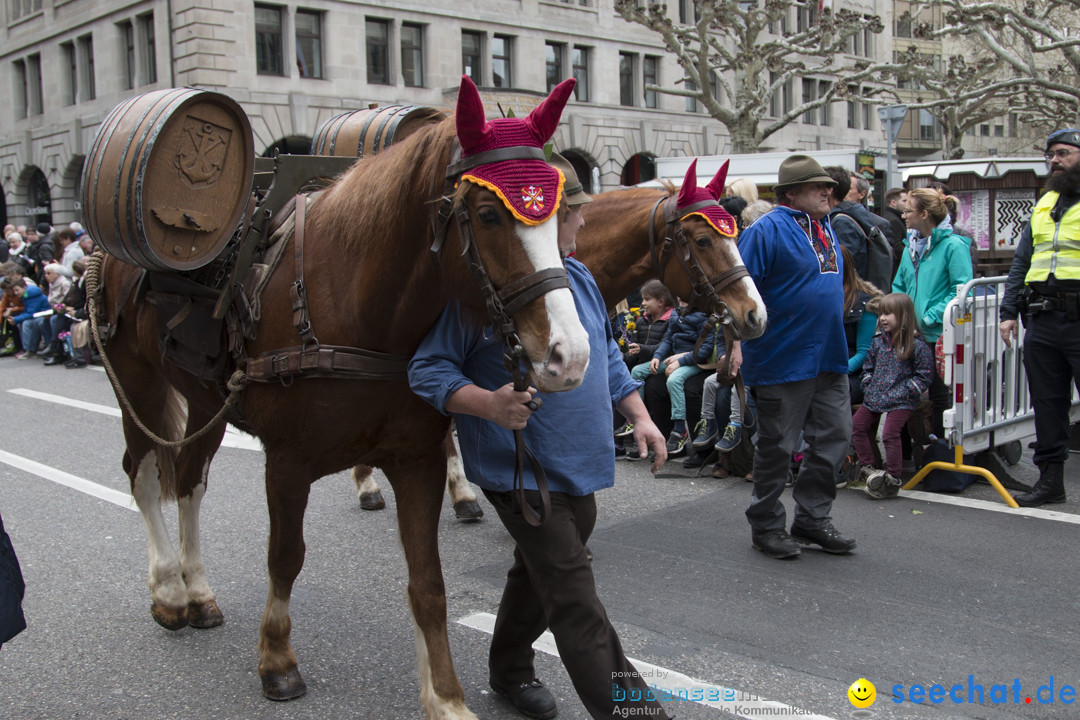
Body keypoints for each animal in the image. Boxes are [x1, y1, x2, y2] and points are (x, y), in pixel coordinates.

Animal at [89, 76, 587, 716]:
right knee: (147, 476)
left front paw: (445, 696)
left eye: (561, 215)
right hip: (140, 387)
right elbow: (285, 558)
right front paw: (277, 661)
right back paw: (170, 592)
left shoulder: (417, 460)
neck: (356, 306)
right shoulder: (287, 464)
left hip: (206, 403)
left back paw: (197, 592)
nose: (568, 356)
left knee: (191, 481)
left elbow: (428, 583)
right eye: (485, 215)